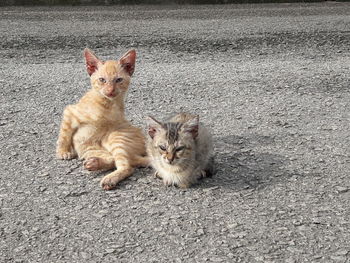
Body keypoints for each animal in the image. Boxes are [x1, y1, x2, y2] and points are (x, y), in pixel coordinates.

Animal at [55, 48, 148, 191]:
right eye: (102, 80)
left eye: (118, 80)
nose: (110, 91)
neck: (107, 104)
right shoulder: (70, 112)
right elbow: (64, 136)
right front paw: (63, 152)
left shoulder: (116, 125)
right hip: (91, 149)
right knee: (121, 161)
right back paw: (95, 164)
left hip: (115, 138)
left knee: (127, 166)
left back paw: (108, 178)